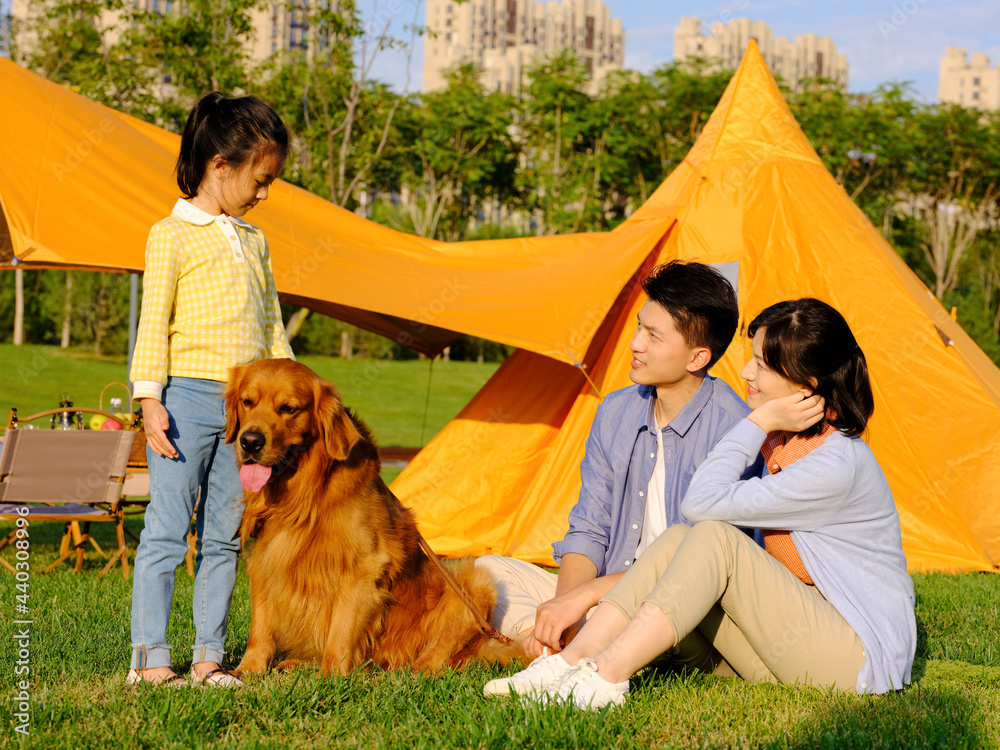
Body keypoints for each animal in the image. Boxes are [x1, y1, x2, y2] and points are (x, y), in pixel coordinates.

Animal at [225, 358, 524, 676]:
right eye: (247, 402)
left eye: (288, 408)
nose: (250, 441)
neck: (306, 495)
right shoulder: (264, 557)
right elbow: (260, 628)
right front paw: (246, 670)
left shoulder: (364, 568)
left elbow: (340, 632)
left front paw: (331, 678)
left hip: (474, 586)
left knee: (430, 662)